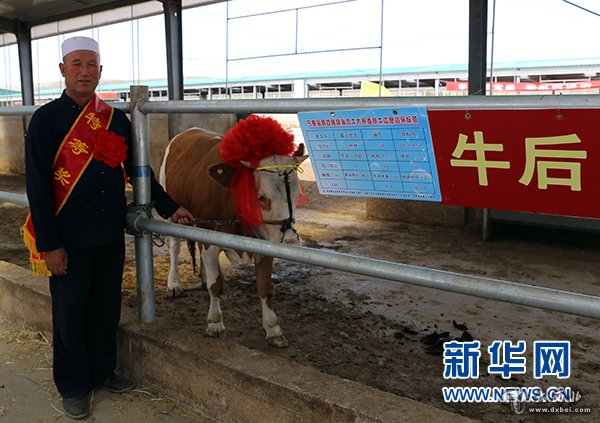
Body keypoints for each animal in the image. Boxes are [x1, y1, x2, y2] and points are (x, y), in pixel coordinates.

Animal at [158, 118, 304, 348]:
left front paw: (273, 329)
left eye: (298, 194)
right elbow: (216, 285)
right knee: (174, 246)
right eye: (260, 197)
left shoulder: (264, 243)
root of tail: (186, 132)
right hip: (172, 214)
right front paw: (215, 323)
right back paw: (174, 284)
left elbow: (265, 287)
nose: (289, 241)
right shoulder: (210, 239)